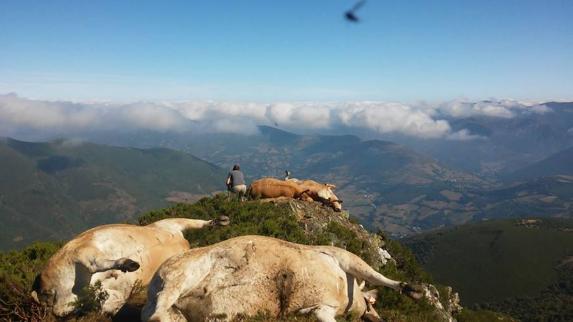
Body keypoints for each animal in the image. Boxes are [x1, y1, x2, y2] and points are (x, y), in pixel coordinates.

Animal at [141, 234, 422, 322]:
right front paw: (413, 289)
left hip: (183, 313)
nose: (378, 318)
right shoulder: (342, 256)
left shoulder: (319, 308)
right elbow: (375, 274)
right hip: (182, 271)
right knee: (163, 304)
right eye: (373, 305)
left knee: (161, 314)